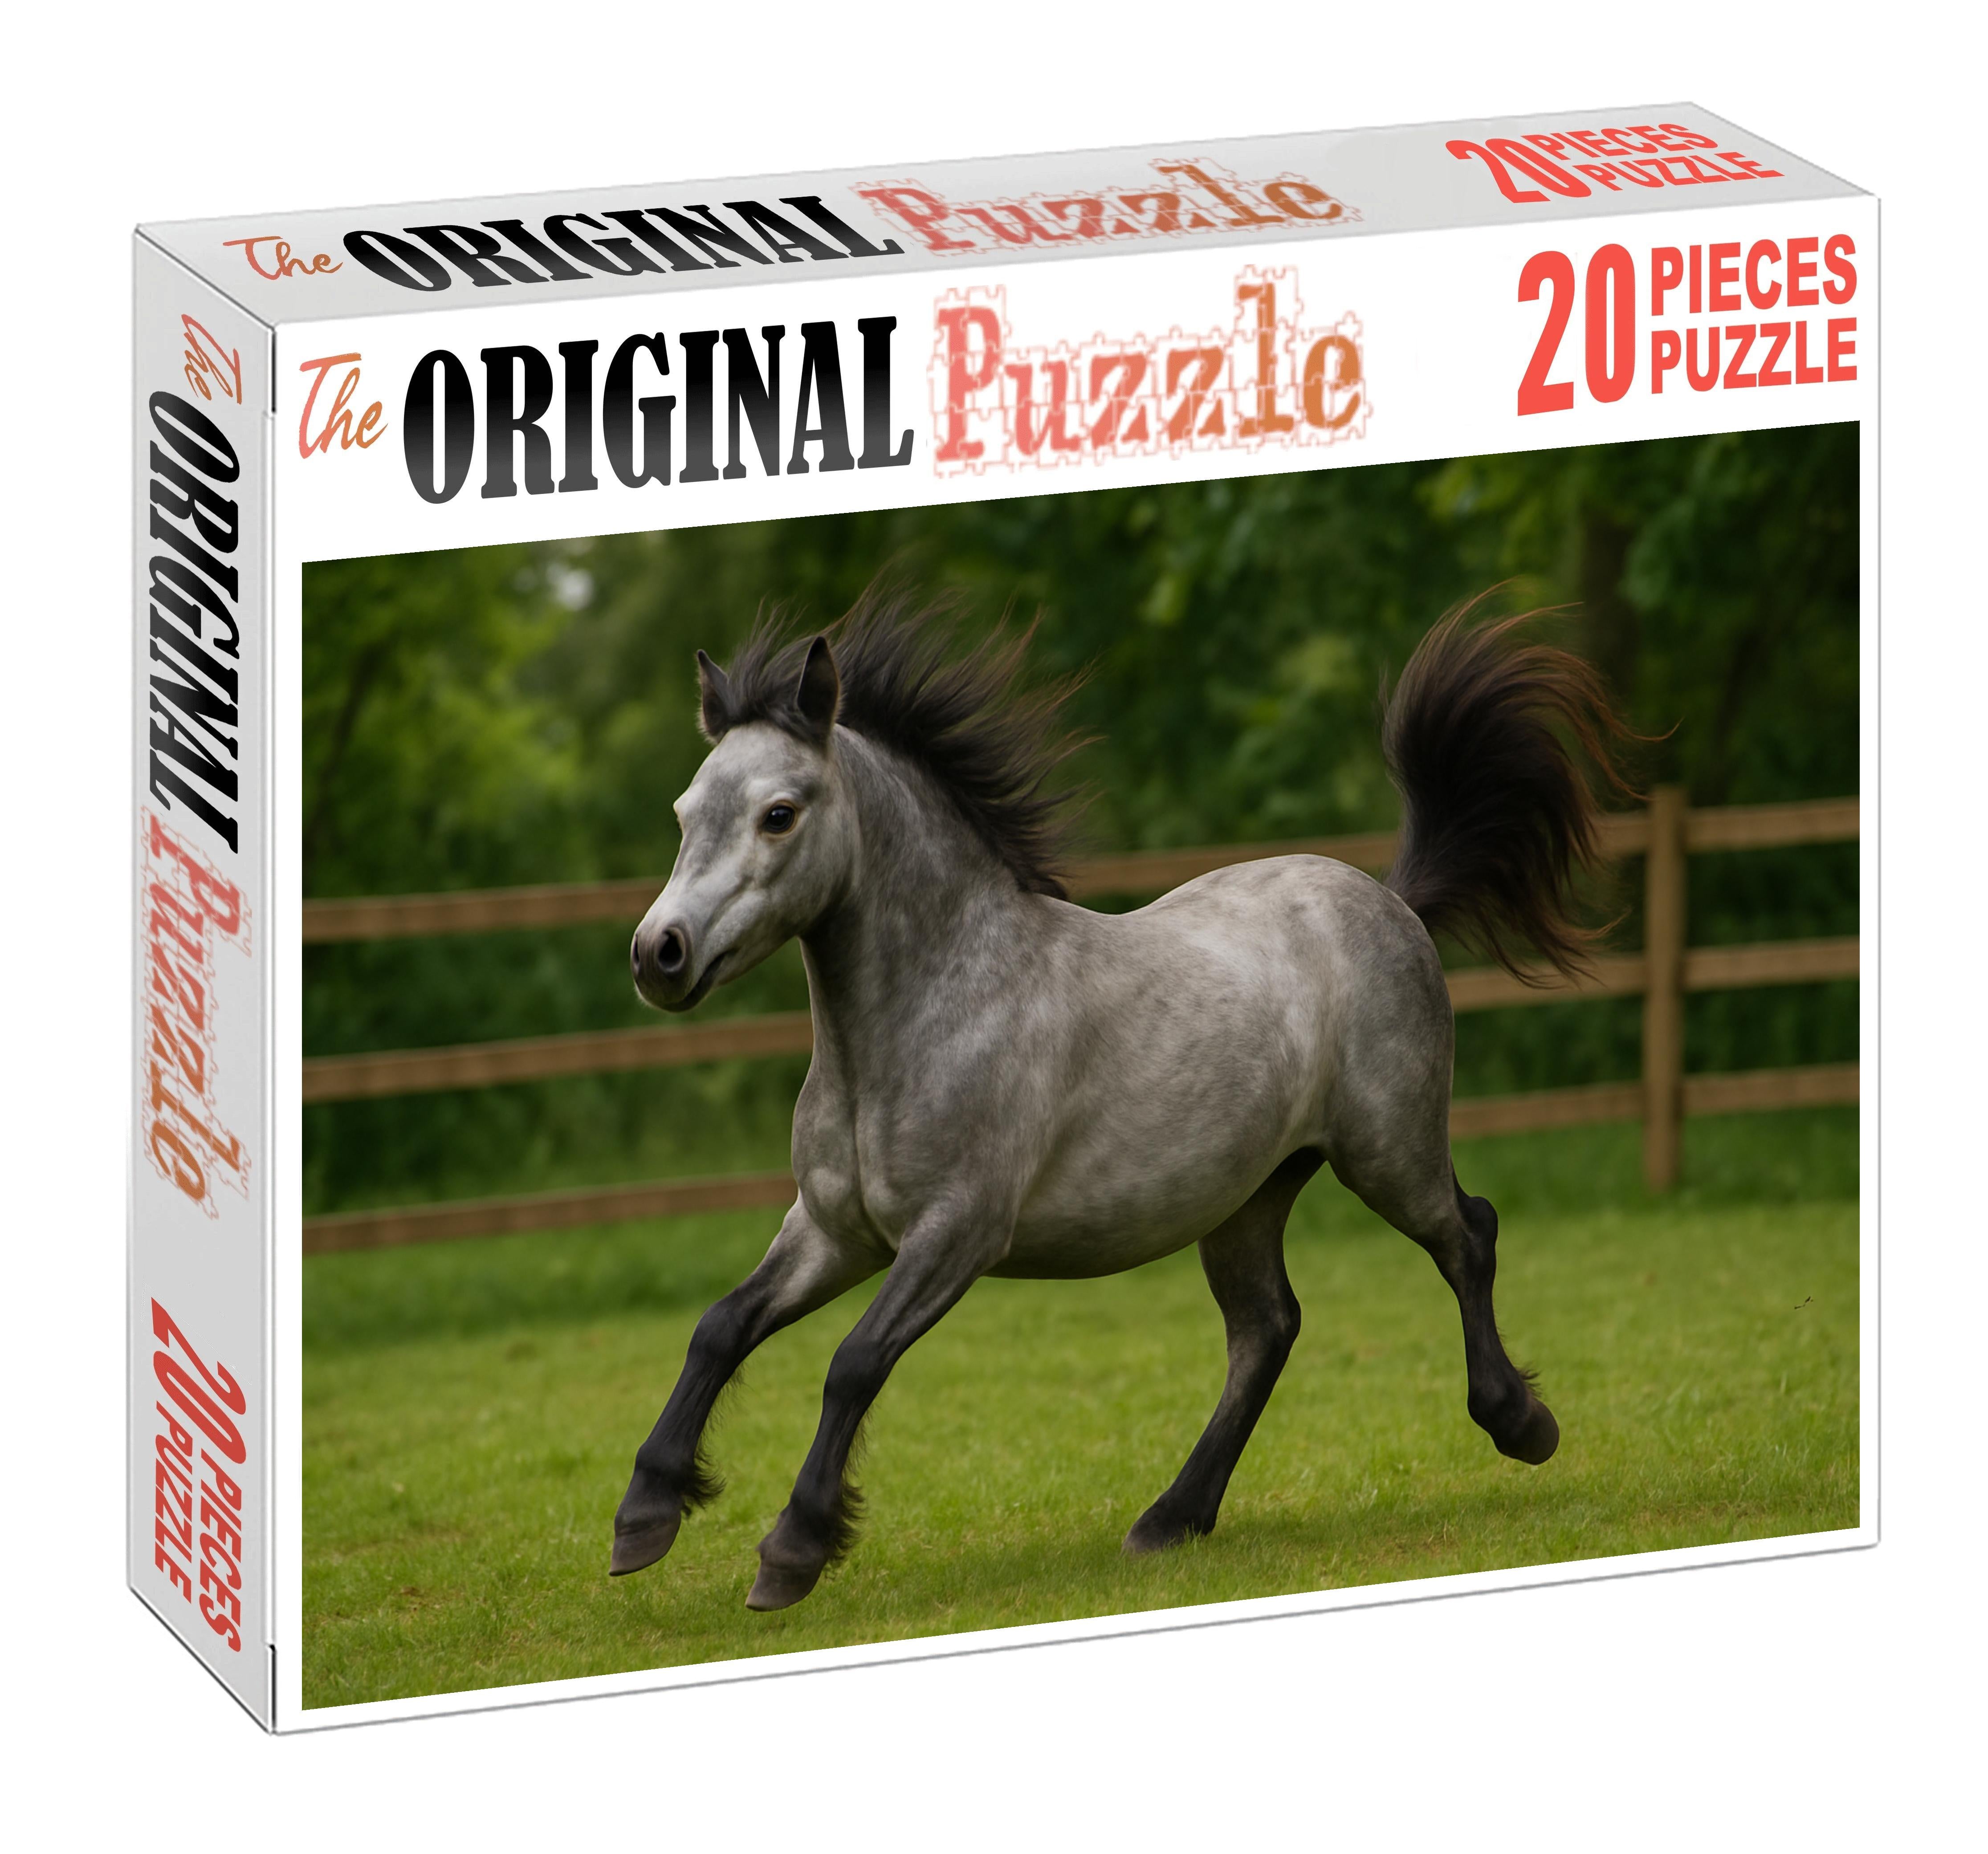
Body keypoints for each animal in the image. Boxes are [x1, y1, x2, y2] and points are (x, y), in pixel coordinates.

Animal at [611, 590, 1630, 1611]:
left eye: (779, 814)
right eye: (684, 811)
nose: (659, 954)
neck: (926, 1018)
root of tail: (1392, 900)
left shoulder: (954, 1234)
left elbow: (853, 1362)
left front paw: (792, 1550)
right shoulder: (834, 1231)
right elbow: (720, 1327)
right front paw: (644, 1517)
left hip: (1388, 1152)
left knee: (1468, 1235)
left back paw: (1520, 1423)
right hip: (1248, 1196)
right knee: (1267, 1329)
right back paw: (1172, 1517)